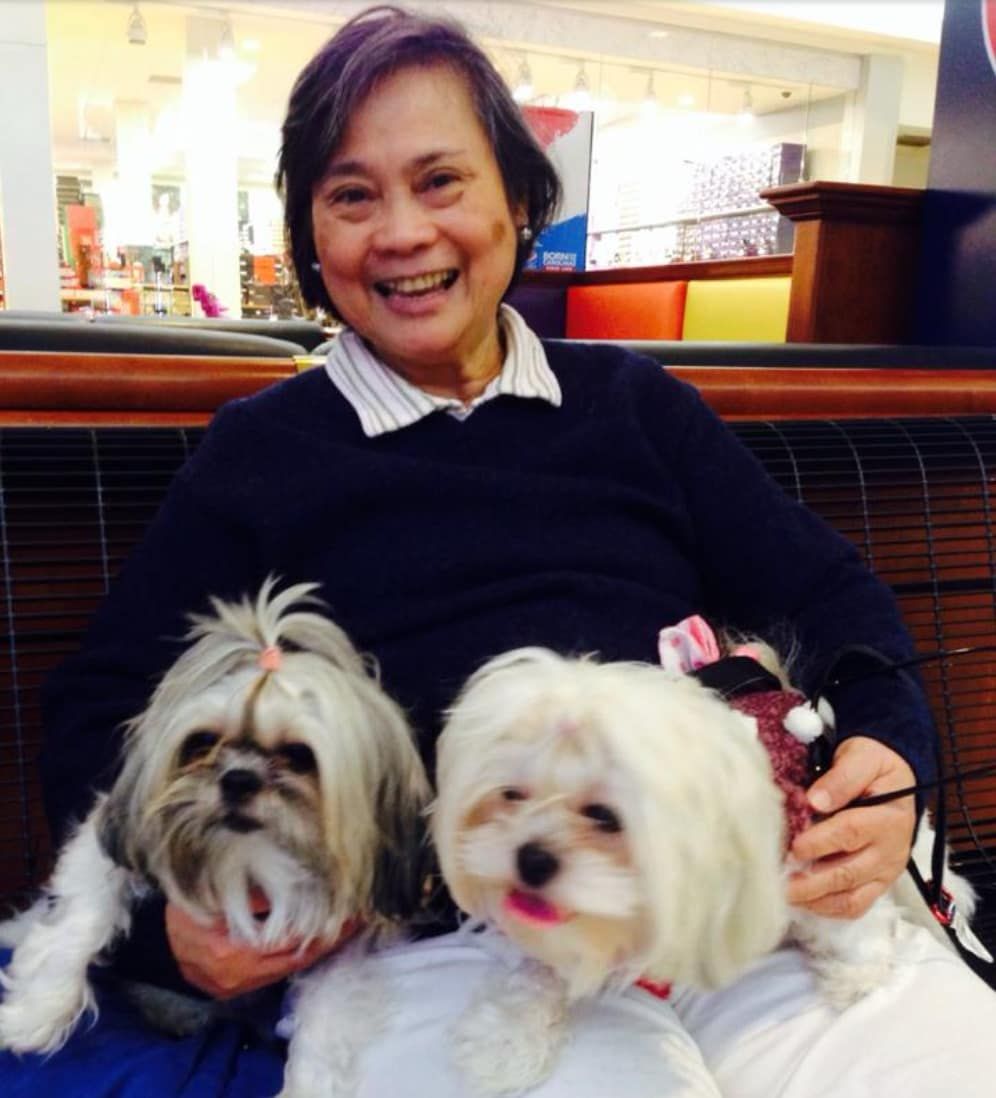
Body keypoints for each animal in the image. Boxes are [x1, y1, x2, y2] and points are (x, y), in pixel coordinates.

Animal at [0, 578, 430, 1098]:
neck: (247, 865)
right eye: (202, 743)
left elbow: (324, 1031)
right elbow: (81, 915)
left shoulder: (337, 949)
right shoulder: (113, 841)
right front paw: (34, 1014)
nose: (238, 779)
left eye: (299, 755)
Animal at [432, 642, 985, 1095]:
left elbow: (851, 923)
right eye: (510, 794)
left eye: (606, 817)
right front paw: (506, 1037)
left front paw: (855, 973)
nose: (530, 859)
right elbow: (537, 975)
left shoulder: (810, 854)